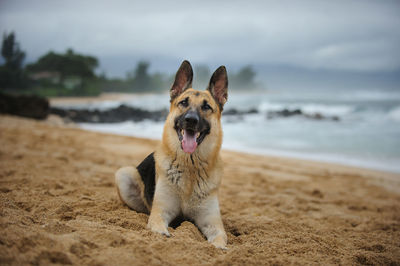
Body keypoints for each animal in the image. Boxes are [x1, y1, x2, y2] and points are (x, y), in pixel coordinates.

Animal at [115, 60, 228, 249]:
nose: (191, 120)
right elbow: (159, 226)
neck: (190, 166)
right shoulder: (160, 212)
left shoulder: (212, 223)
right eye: (183, 102)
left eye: (206, 106)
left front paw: (218, 246)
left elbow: (220, 240)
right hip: (124, 173)